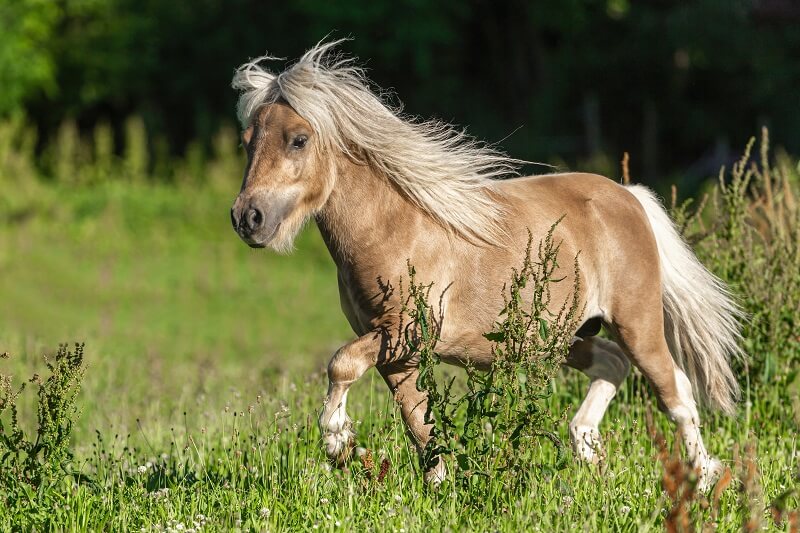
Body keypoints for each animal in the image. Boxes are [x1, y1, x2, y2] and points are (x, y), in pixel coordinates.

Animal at [228, 40, 740, 490]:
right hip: (561, 337)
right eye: (248, 141)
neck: (394, 227)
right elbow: (420, 424)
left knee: (675, 391)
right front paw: (432, 487)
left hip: (637, 322)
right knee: (613, 365)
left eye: (298, 140)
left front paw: (339, 442)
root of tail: (629, 197)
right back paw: (588, 452)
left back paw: (704, 476)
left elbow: (342, 364)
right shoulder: (399, 356)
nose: (248, 218)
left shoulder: (404, 334)